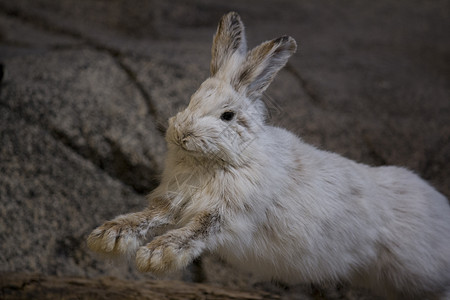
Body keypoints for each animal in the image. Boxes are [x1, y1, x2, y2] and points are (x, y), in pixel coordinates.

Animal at [88, 11, 450, 298]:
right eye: (191, 99)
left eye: (227, 115)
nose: (181, 134)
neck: (220, 162)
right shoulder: (173, 199)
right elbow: (149, 216)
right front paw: (108, 237)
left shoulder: (227, 213)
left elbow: (196, 230)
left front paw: (155, 256)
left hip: (421, 276)